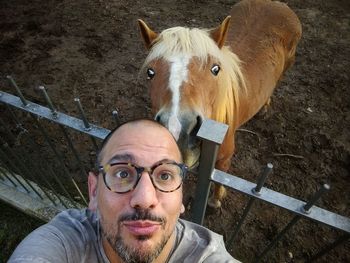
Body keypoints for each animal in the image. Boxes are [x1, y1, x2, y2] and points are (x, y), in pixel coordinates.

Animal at [137, 0, 300, 209]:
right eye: (150, 72)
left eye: (215, 69)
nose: (178, 133)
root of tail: (277, 4)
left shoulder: (224, 158)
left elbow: (217, 181)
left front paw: (215, 200)